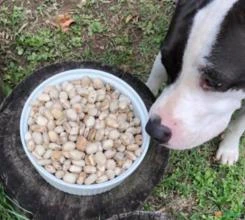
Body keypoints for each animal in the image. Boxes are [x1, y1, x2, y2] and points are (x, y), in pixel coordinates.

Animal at [145, 0, 245, 165]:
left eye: (214, 83)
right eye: (167, 63)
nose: (154, 130)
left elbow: (238, 125)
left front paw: (228, 149)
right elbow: (156, 73)